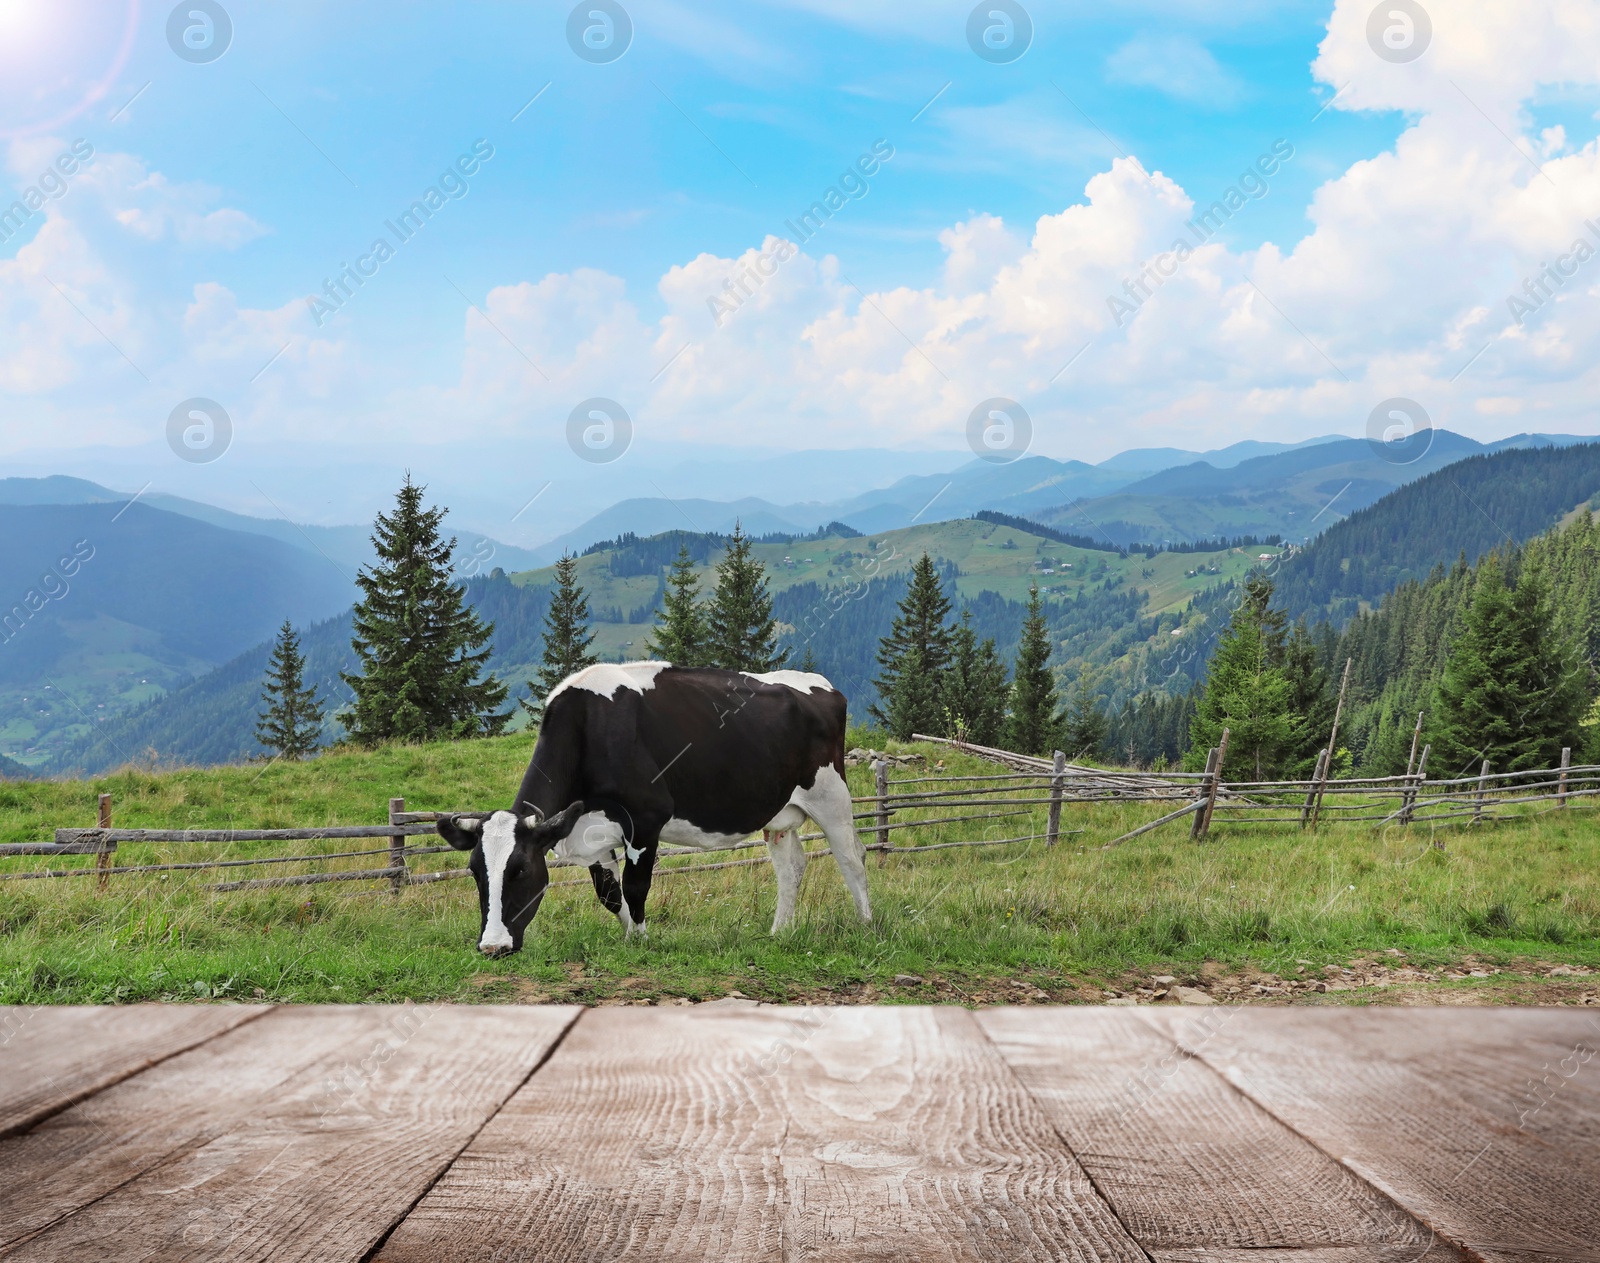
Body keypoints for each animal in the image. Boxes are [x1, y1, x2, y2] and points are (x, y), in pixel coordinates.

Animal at [432, 665, 870, 954]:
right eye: (475, 871)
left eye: (521, 870)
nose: (492, 946)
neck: (588, 727)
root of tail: (821, 684)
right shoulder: (592, 828)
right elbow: (609, 893)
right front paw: (628, 933)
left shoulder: (645, 819)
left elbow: (635, 885)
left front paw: (640, 940)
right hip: (779, 813)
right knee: (792, 865)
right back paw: (781, 932)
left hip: (831, 796)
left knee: (852, 857)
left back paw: (866, 926)